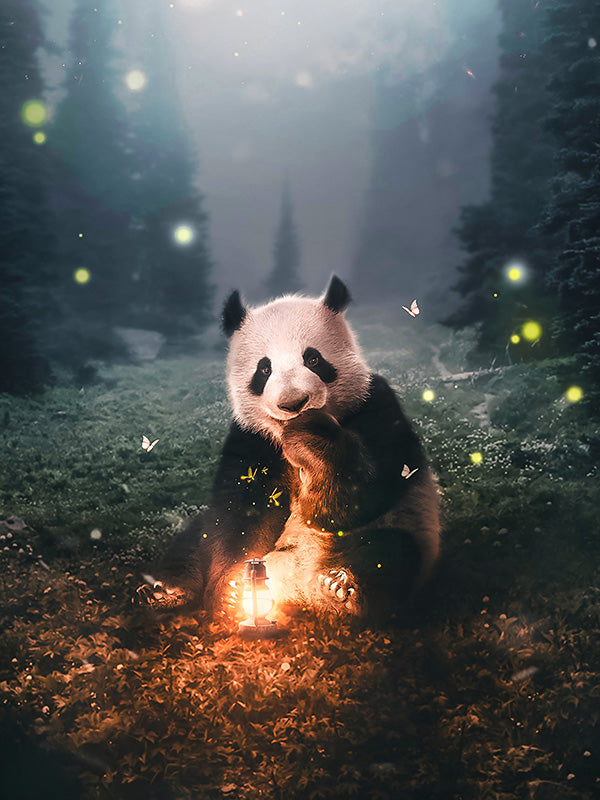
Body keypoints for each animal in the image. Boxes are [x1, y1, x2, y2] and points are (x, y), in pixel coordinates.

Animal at [138, 275, 441, 620]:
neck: (284, 436)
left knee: (391, 552)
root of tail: (295, 581)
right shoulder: (252, 438)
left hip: (405, 527)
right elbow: (241, 510)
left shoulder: (375, 405)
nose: (293, 403)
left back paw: (339, 588)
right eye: (264, 369)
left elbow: (361, 493)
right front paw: (230, 591)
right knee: (193, 540)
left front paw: (311, 442)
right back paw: (165, 590)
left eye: (313, 359)